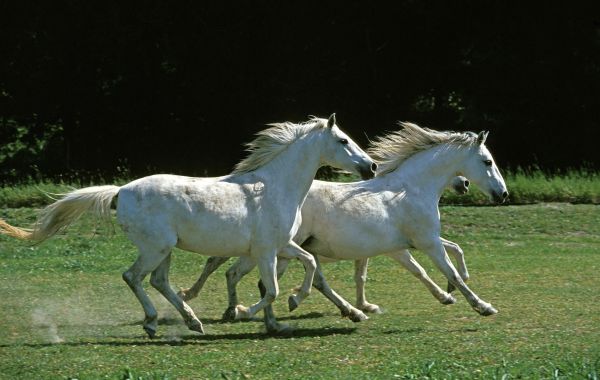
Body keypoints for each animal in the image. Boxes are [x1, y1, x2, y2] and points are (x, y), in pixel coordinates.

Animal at [0, 114, 376, 336]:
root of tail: (120, 191)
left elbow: (309, 264)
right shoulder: (267, 251)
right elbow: (270, 290)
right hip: (155, 248)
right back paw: (155, 322)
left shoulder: (282, 245)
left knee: (158, 281)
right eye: (343, 140)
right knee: (133, 277)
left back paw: (191, 320)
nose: (370, 166)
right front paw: (245, 312)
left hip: (165, 250)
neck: (275, 187)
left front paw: (291, 306)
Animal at [184, 122, 510, 324]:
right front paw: (481, 305)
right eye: (487, 161)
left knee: (271, 278)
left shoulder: (405, 245)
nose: (503, 194)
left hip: (287, 250)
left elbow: (437, 260)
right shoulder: (425, 241)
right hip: (278, 249)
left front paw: (447, 294)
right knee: (242, 273)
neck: (411, 189)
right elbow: (444, 269)